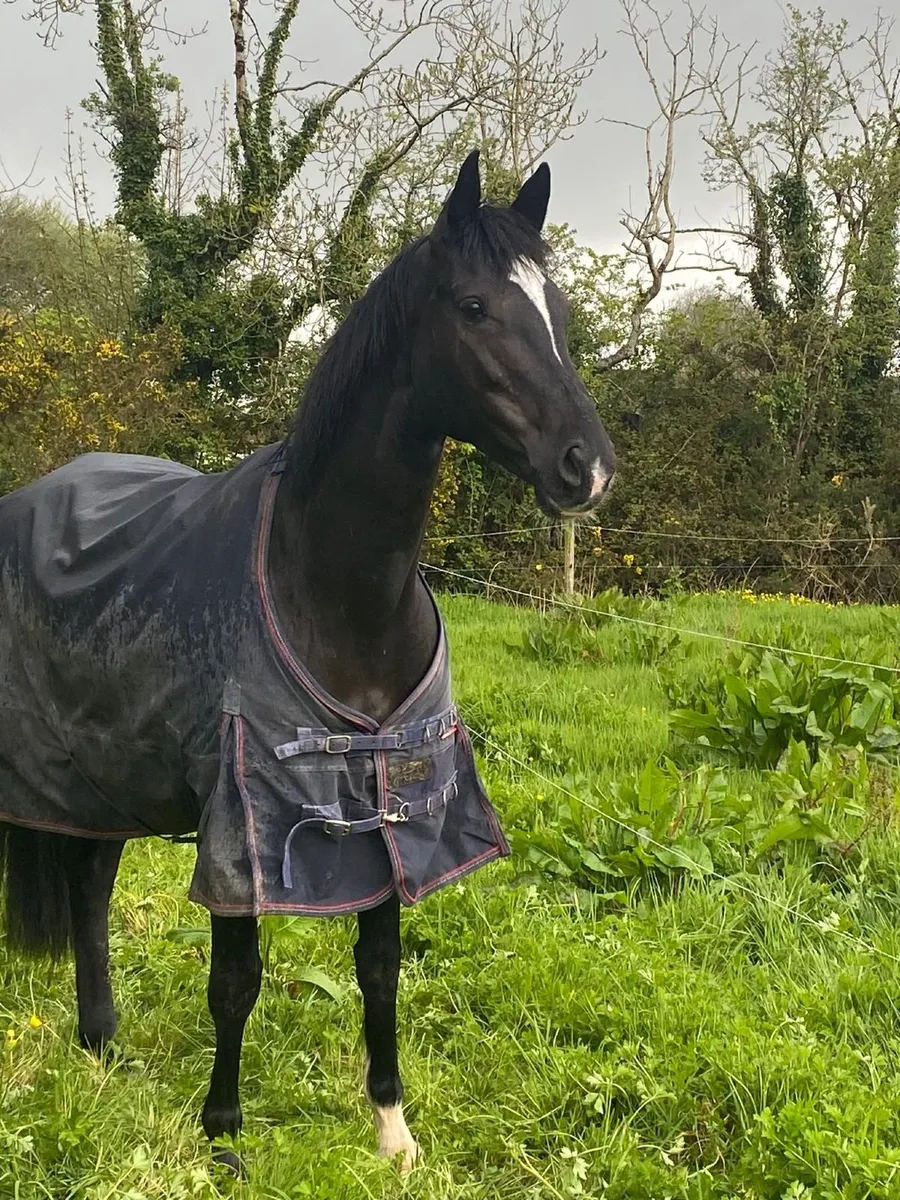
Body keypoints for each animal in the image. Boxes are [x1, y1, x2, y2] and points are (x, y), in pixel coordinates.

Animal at [0, 149, 616, 1172]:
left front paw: (393, 1132)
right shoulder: (242, 809)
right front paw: (222, 1137)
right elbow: (235, 981)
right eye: (476, 307)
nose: (589, 470)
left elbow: (379, 968)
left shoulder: (393, 790)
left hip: (106, 768)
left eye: (557, 309)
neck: (329, 585)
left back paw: (99, 1043)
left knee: (89, 883)